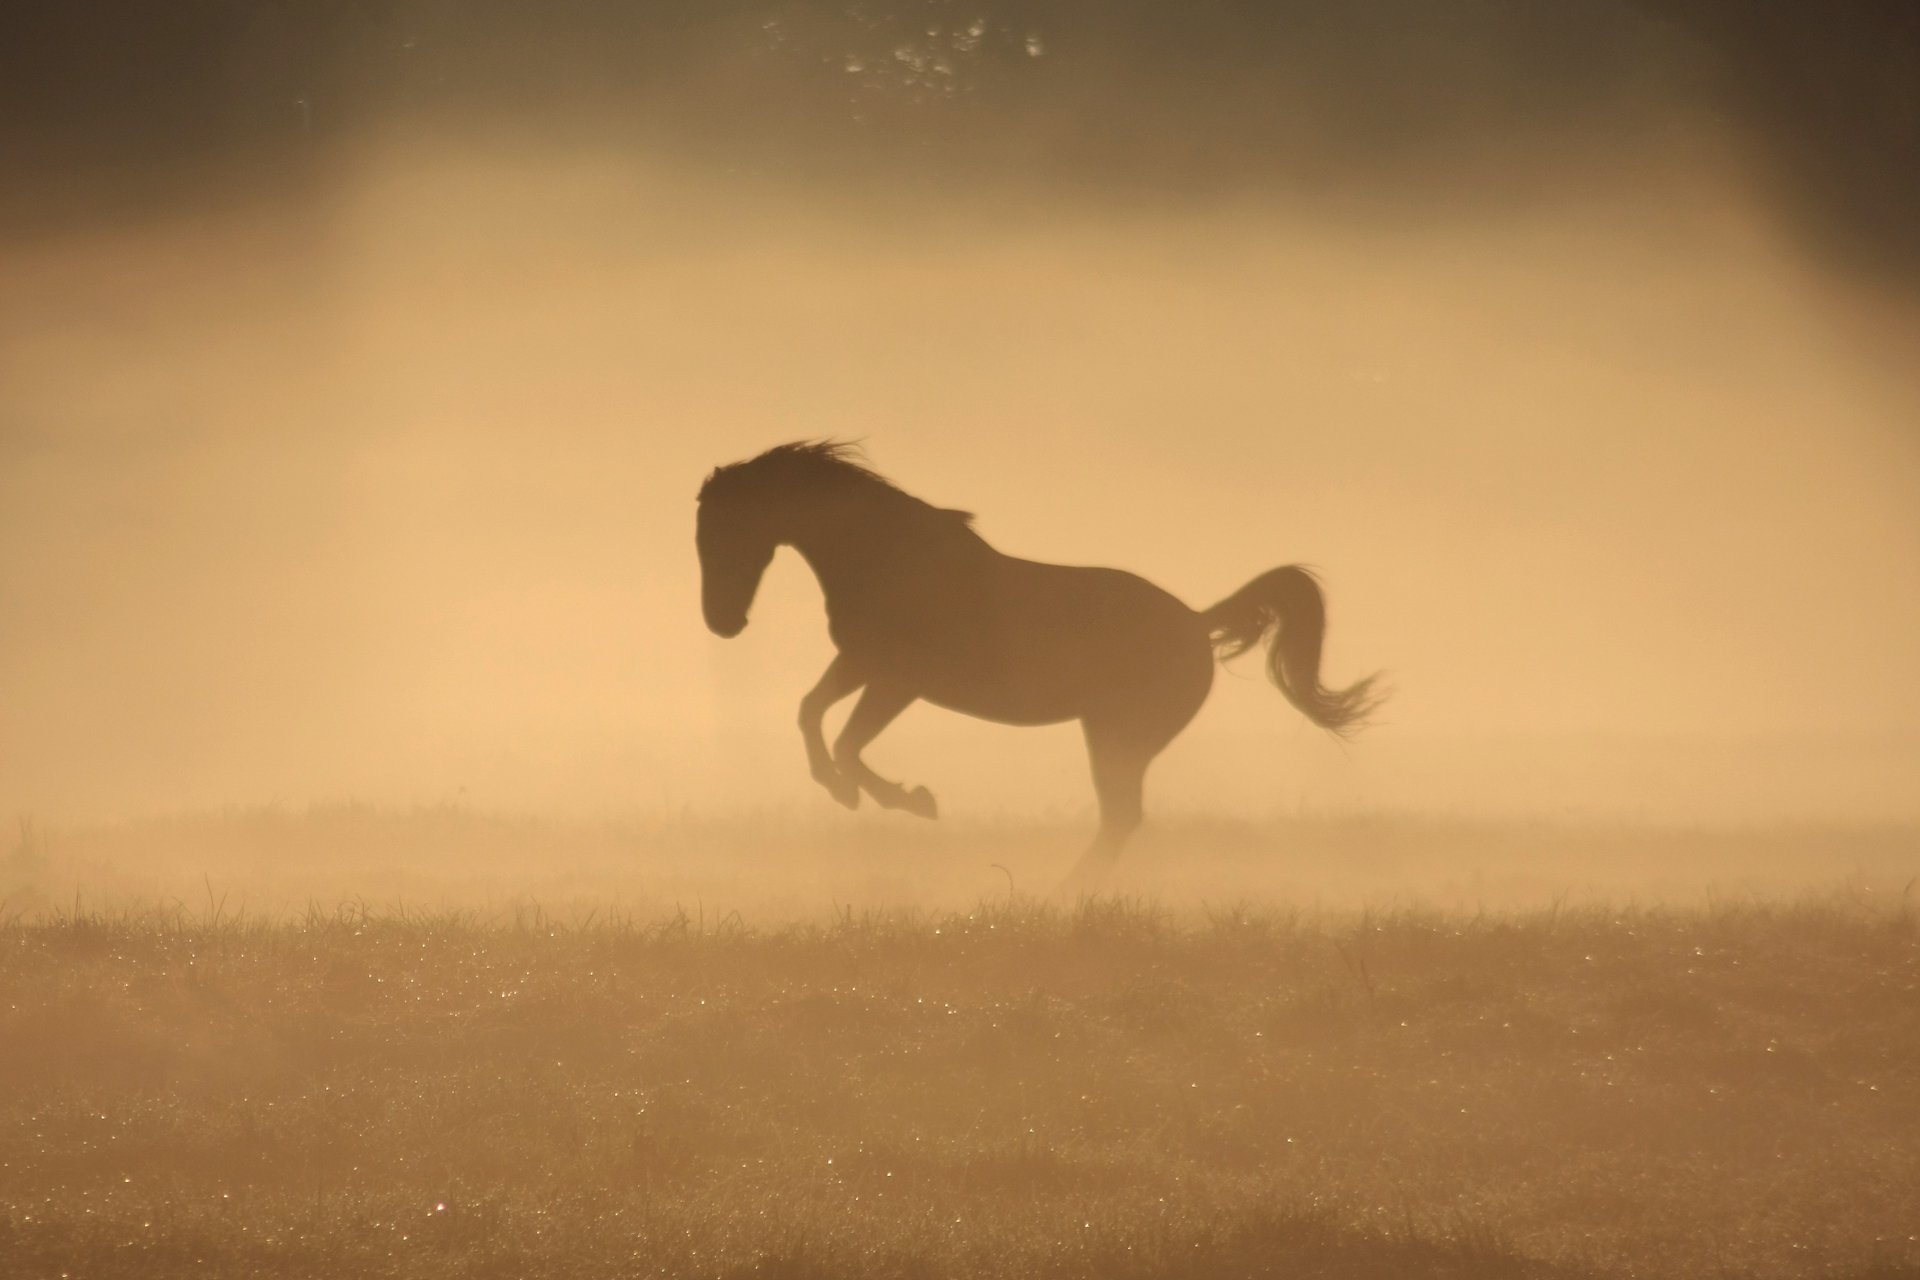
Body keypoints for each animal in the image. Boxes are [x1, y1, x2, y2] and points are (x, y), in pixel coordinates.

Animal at [696, 440, 1381, 886]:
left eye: (727, 530)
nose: (721, 623)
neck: (888, 558)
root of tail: (1195, 621)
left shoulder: (897, 680)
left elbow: (845, 742)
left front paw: (911, 800)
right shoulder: (861, 664)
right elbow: (811, 714)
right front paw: (844, 793)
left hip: (1116, 737)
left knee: (1121, 816)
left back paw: (1063, 896)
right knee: (1120, 817)